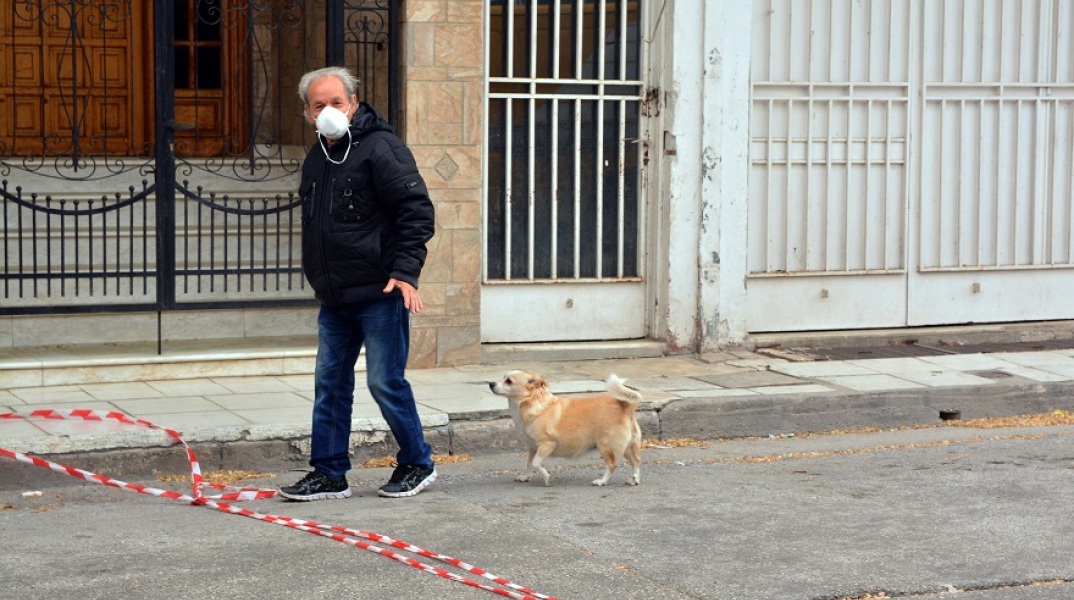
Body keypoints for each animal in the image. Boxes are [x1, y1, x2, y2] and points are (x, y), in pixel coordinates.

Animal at [491, 371, 640, 489]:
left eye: (509, 381)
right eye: (503, 377)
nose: (491, 383)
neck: (533, 404)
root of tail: (624, 405)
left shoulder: (547, 445)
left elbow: (536, 463)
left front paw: (546, 477)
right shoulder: (533, 448)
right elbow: (529, 464)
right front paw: (526, 477)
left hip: (606, 446)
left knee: (613, 465)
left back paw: (602, 481)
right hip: (627, 447)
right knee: (636, 461)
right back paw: (634, 480)